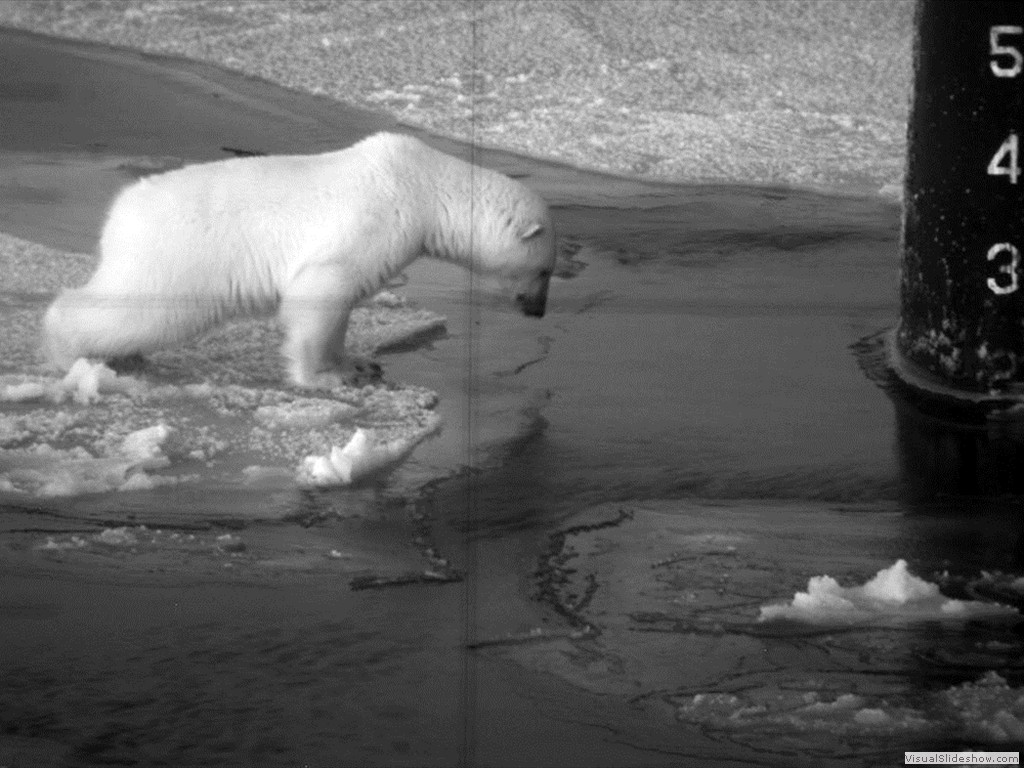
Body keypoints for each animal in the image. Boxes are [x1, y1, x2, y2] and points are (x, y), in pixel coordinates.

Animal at [44, 132, 557, 387]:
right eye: (545, 270)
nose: (539, 310)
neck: (424, 186)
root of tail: (120, 212)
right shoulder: (375, 220)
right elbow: (321, 289)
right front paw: (323, 378)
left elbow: (341, 306)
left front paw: (357, 365)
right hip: (175, 257)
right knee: (137, 310)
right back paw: (68, 351)